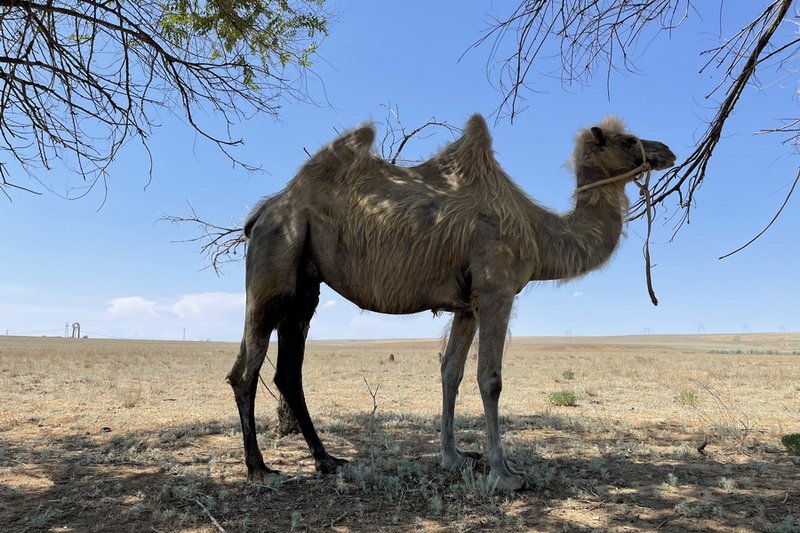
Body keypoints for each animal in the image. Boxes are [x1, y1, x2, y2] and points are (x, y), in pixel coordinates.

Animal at [227, 114, 676, 488]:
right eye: (627, 139)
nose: (667, 151)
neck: (535, 231)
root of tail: (264, 210)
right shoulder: (496, 289)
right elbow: (490, 378)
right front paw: (504, 474)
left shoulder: (467, 305)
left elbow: (451, 373)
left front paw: (455, 458)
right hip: (276, 258)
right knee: (246, 369)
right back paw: (259, 469)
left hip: (305, 283)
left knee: (288, 371)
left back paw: (327, 461)